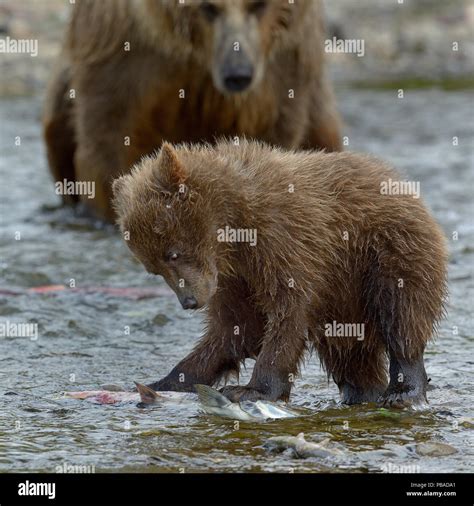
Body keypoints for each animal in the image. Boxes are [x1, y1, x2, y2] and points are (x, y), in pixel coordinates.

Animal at [43, 0, 340, 221]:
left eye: (258, 5)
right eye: (209, 7)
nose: (238, 74)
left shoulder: (281, 68)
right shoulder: (125, 53)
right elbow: (108, 141)